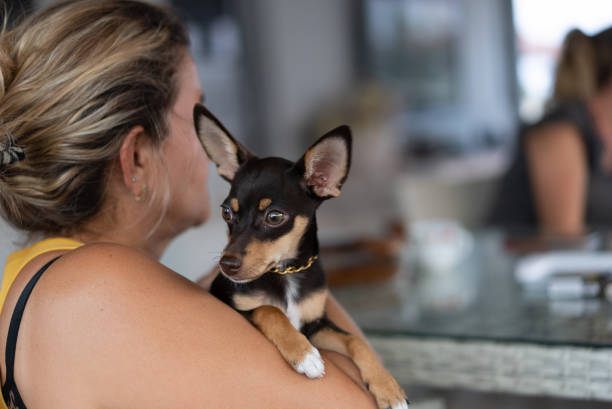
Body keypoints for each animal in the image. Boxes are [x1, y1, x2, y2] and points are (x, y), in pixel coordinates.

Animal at [194, 103, 408, 408]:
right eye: (226, 212)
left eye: (274, 217)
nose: (227, 265)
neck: (286, 273)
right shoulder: (228, 304)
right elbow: (269, 309)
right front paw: (305, 355)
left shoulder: (316, 325)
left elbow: (355, 341)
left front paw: (388, 387)